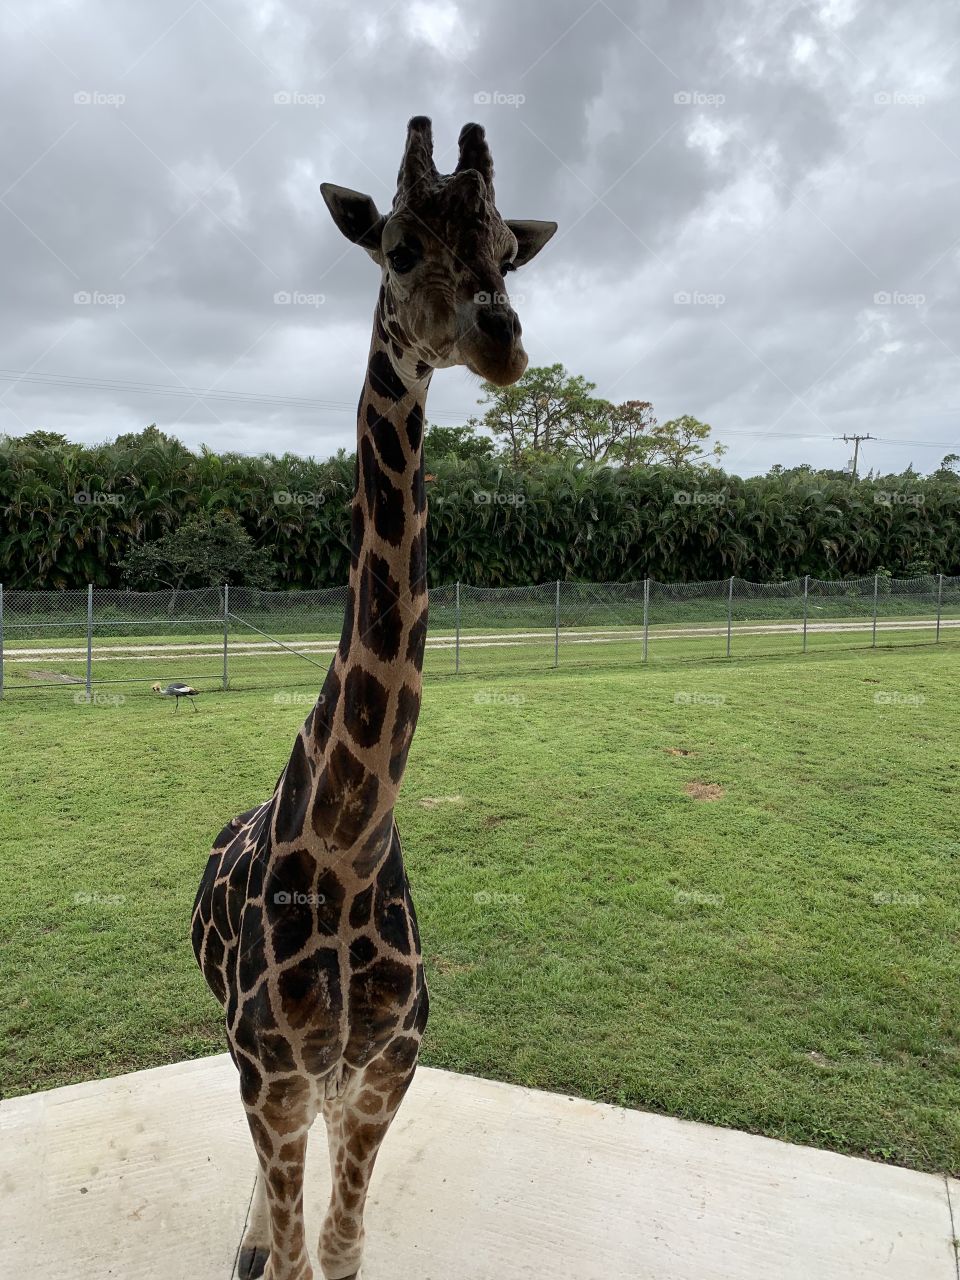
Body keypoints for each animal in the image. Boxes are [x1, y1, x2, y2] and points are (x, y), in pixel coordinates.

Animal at [191, 116, 556, 1280]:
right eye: (396, 247)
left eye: (510, 249)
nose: (501, 338)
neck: (348, 850)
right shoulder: (275, 1071)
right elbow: (302, 1253)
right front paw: (258, 1244)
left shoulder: (385, 1074)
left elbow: (342, 1249)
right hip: (248, 1053)